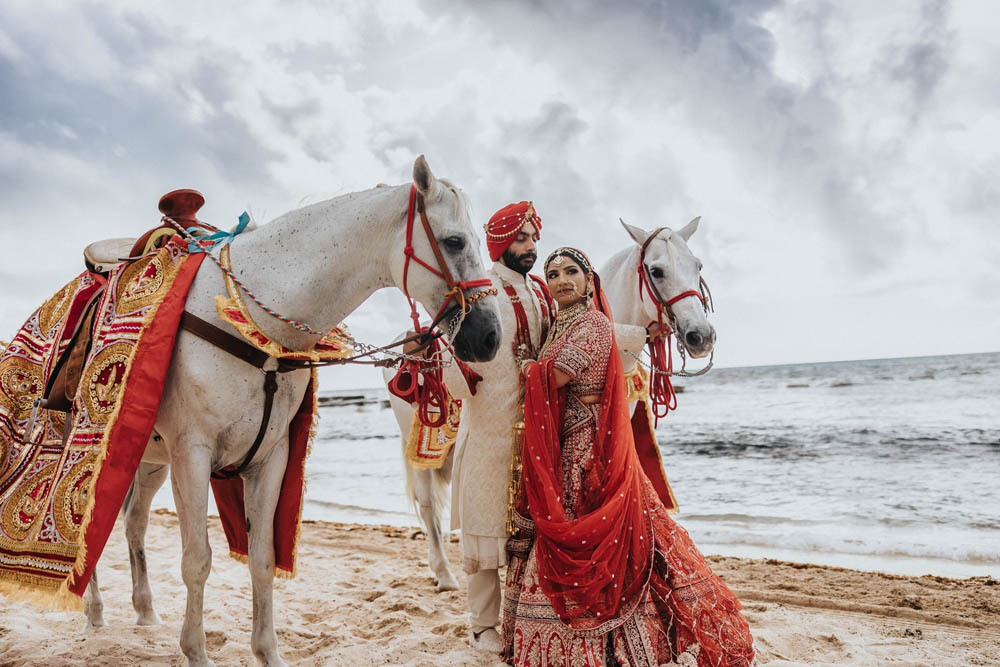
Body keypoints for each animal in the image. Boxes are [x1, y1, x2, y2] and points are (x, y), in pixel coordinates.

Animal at [81, 158, 500, 667]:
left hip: (148, 462)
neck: (251, 326)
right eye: (455, 241)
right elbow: (197, 560)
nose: (491, 337)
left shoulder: (270, 458)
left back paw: (144, 612)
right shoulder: (192, 455)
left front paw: (267, 652)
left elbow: (262, 558)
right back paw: (94, 613)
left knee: (134, 522)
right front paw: (196, 651)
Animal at [386, 218, 716, 596]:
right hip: (422, 452)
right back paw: (444, 574)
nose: (702, 336)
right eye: (656, 271)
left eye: (698, 266)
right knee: (430, 508)